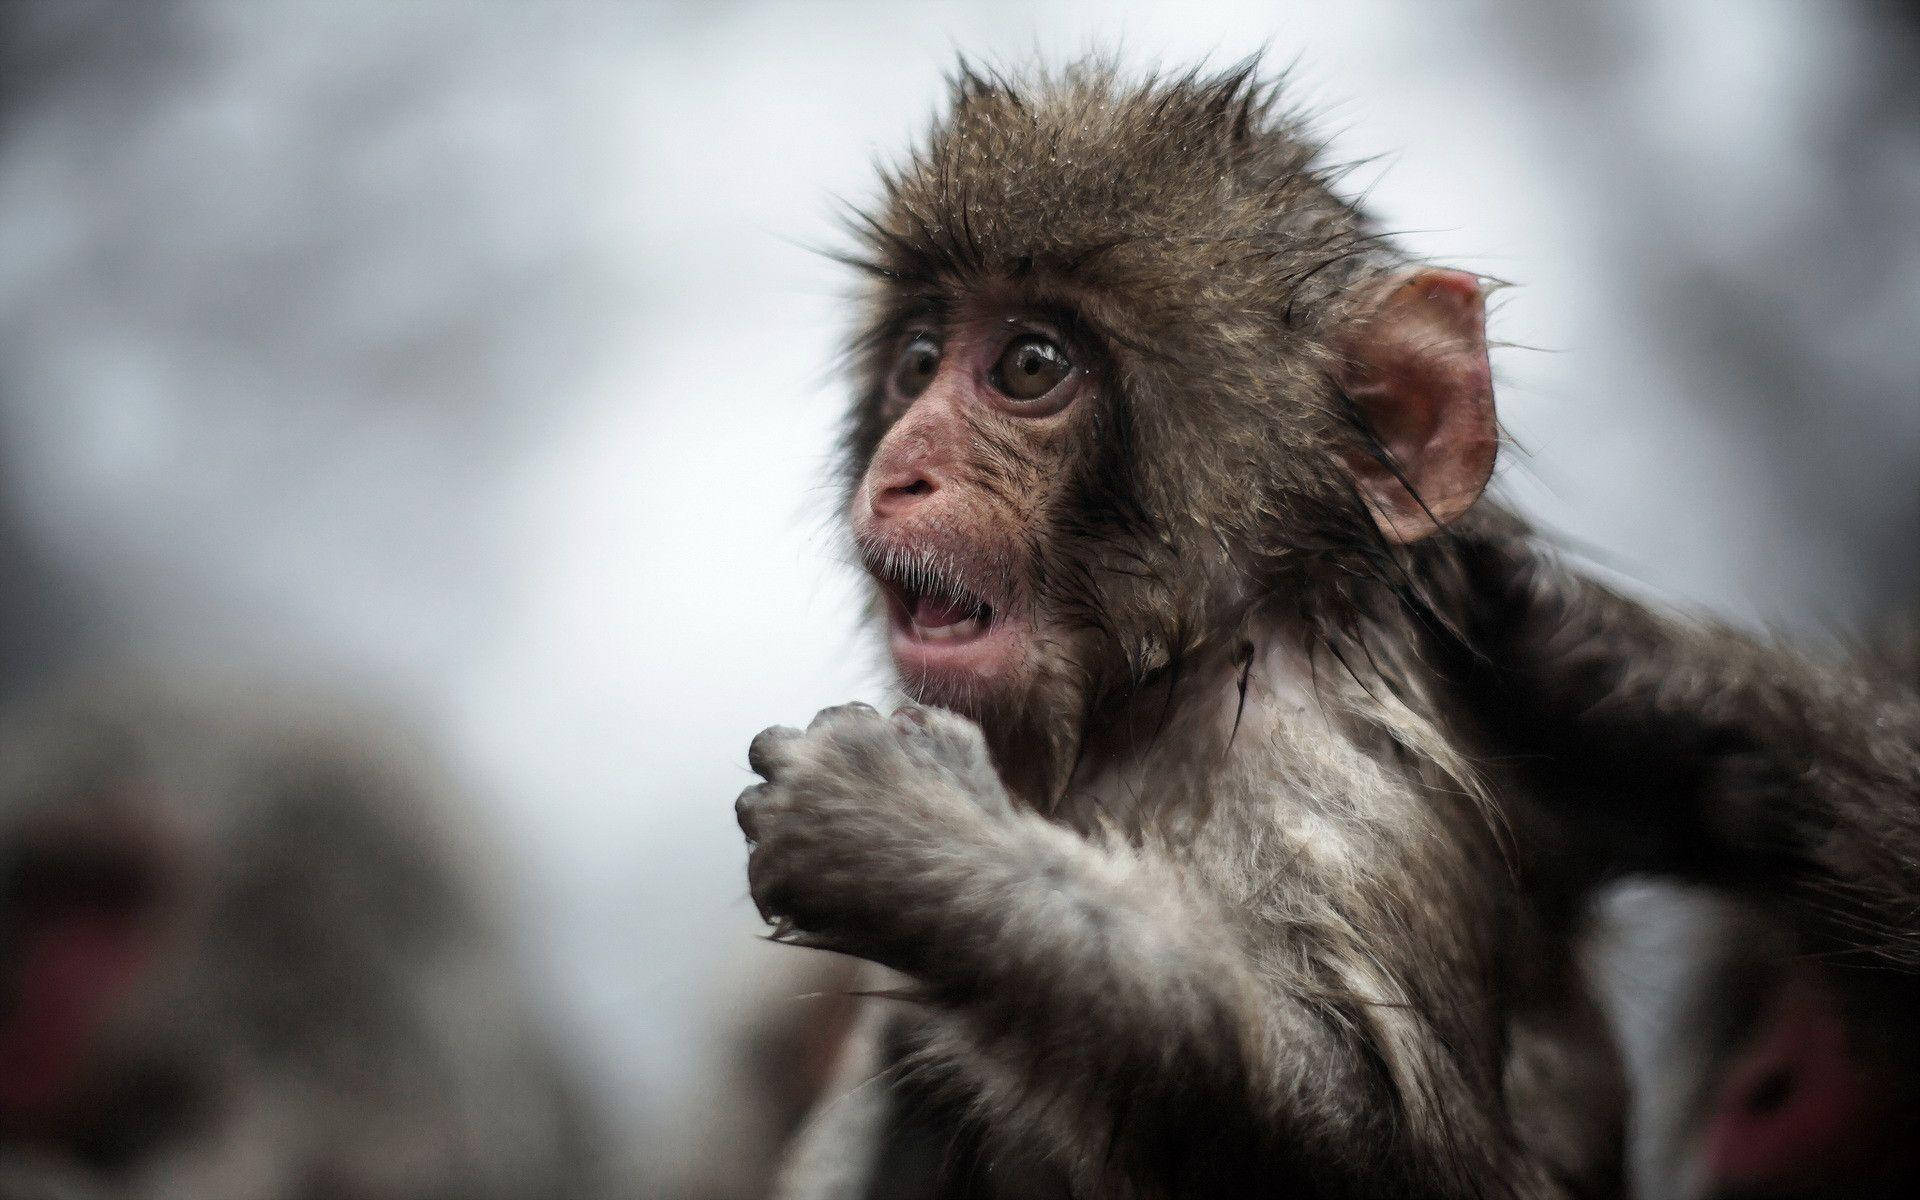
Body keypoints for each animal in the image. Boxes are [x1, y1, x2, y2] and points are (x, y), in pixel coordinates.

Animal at [733, 63, 1920, 1198]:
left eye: (1030, 366)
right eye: (917, 362)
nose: (898, 471)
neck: (1176, 685)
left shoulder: (1331, 791)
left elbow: (1397, 1146)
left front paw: (928, 859)